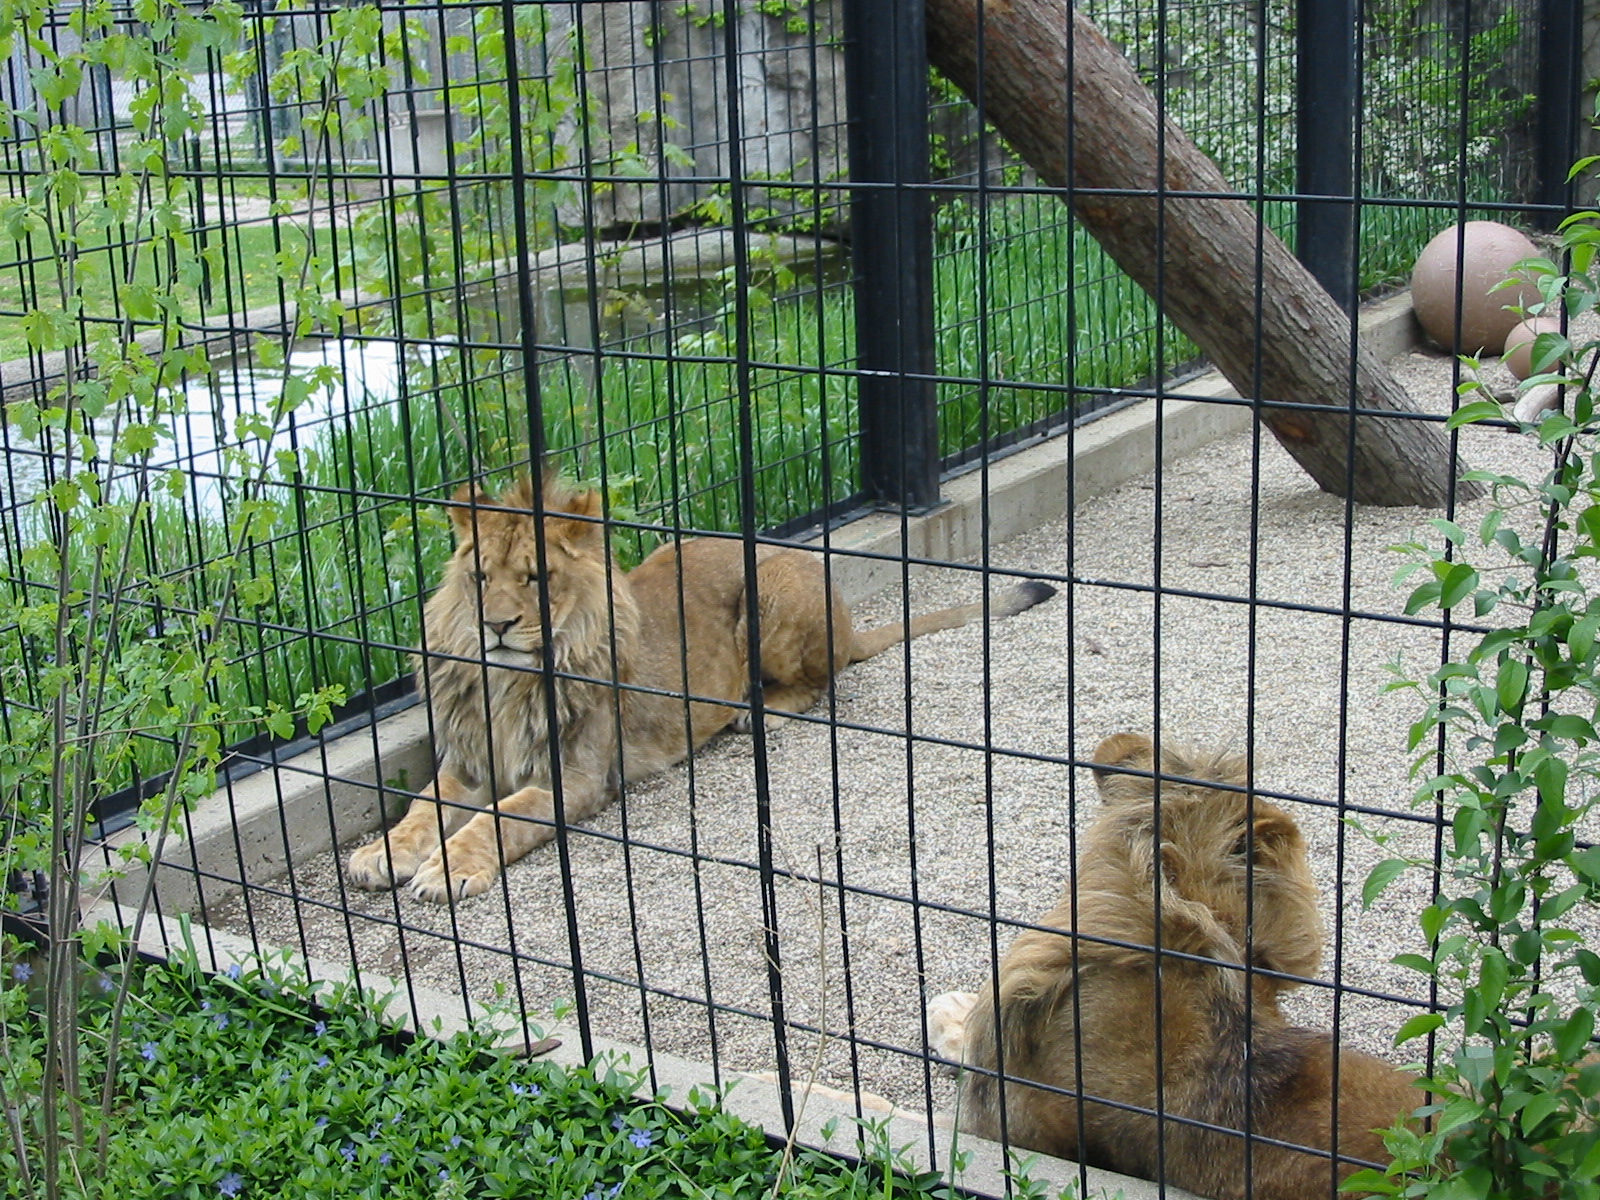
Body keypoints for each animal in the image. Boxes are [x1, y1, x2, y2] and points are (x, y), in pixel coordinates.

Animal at [348, 475, 1056, 903]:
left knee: (821, 683)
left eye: (537, 578)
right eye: (480, 576)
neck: (507, 680)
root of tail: (847, 618)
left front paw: (448, 869)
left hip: (772, 594)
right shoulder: (466, 764)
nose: (495, 625)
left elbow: (500, 816)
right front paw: (382, 854)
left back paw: (757, 712)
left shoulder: (577, 781)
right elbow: (422, 806)